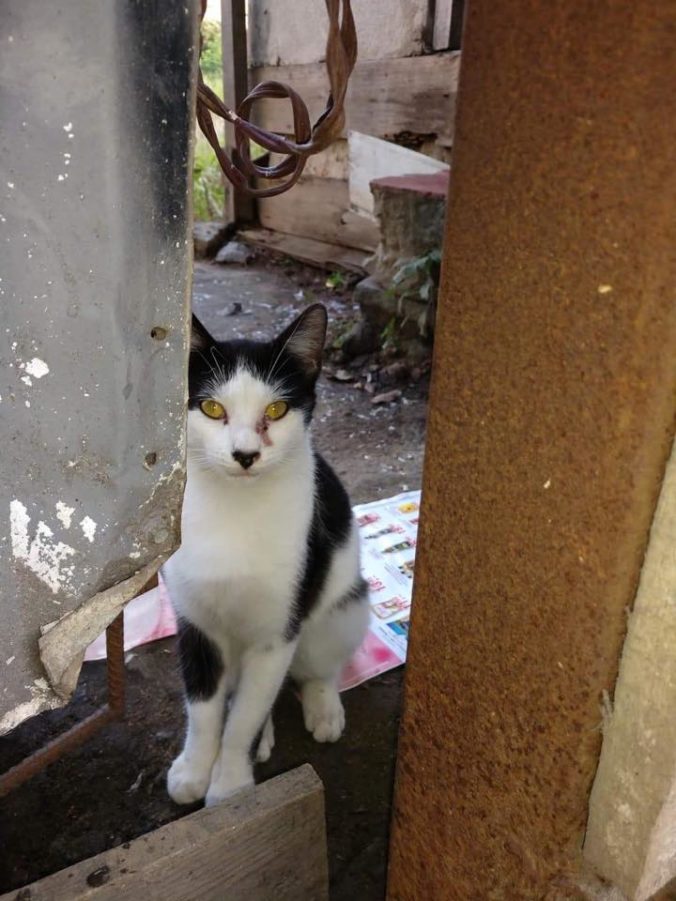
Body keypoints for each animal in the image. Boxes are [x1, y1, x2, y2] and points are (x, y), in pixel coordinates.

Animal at [162, 303, 369, 807]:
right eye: (212, 407)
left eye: (276, 410)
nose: (245, 454)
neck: (233, 508)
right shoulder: (194, 622)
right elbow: (204, 709)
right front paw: (195, 770)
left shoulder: (278, 632)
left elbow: (244, 719)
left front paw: (231, 787)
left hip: (342, 606)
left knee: (320, 663)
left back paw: (323, 706)